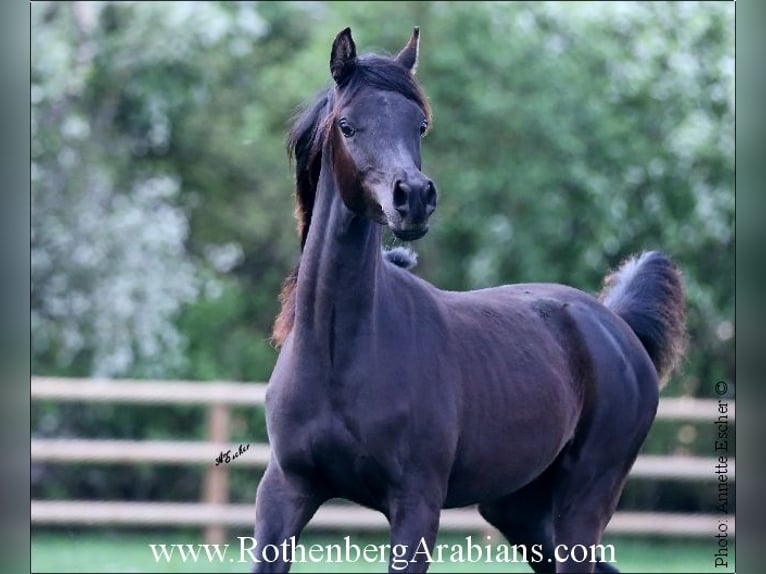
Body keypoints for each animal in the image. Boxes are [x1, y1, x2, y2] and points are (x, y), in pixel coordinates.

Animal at [252, 27, 686, 574]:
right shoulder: (284, 493)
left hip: (585, 501)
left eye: (419, 124)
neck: (337, 355)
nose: (414, 198)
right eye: (347, 125)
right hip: (518, 511)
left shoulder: (416, 504)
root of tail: (615, 325)